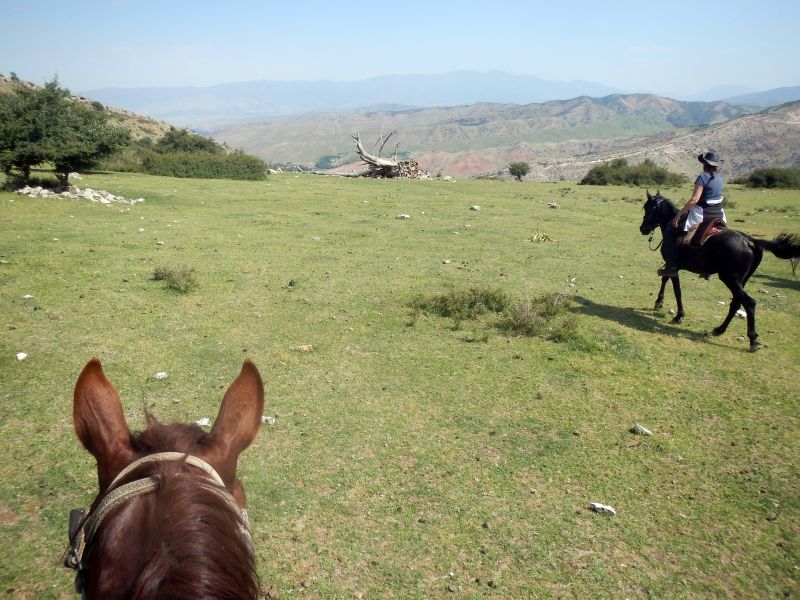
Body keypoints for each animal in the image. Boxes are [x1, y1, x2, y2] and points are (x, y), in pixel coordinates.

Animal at [640, 191, 800, 352]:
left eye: (649, 208)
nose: (643, 228)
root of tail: (751, 241)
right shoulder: (672, 266)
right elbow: (665, 279)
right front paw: (659, 302)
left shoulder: (672, 265)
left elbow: (676, 290)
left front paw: (678, 316)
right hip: (741, 280)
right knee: (736, 303)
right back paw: (719, 330)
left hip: (729, 278)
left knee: (749, 303)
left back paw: (753, 339)